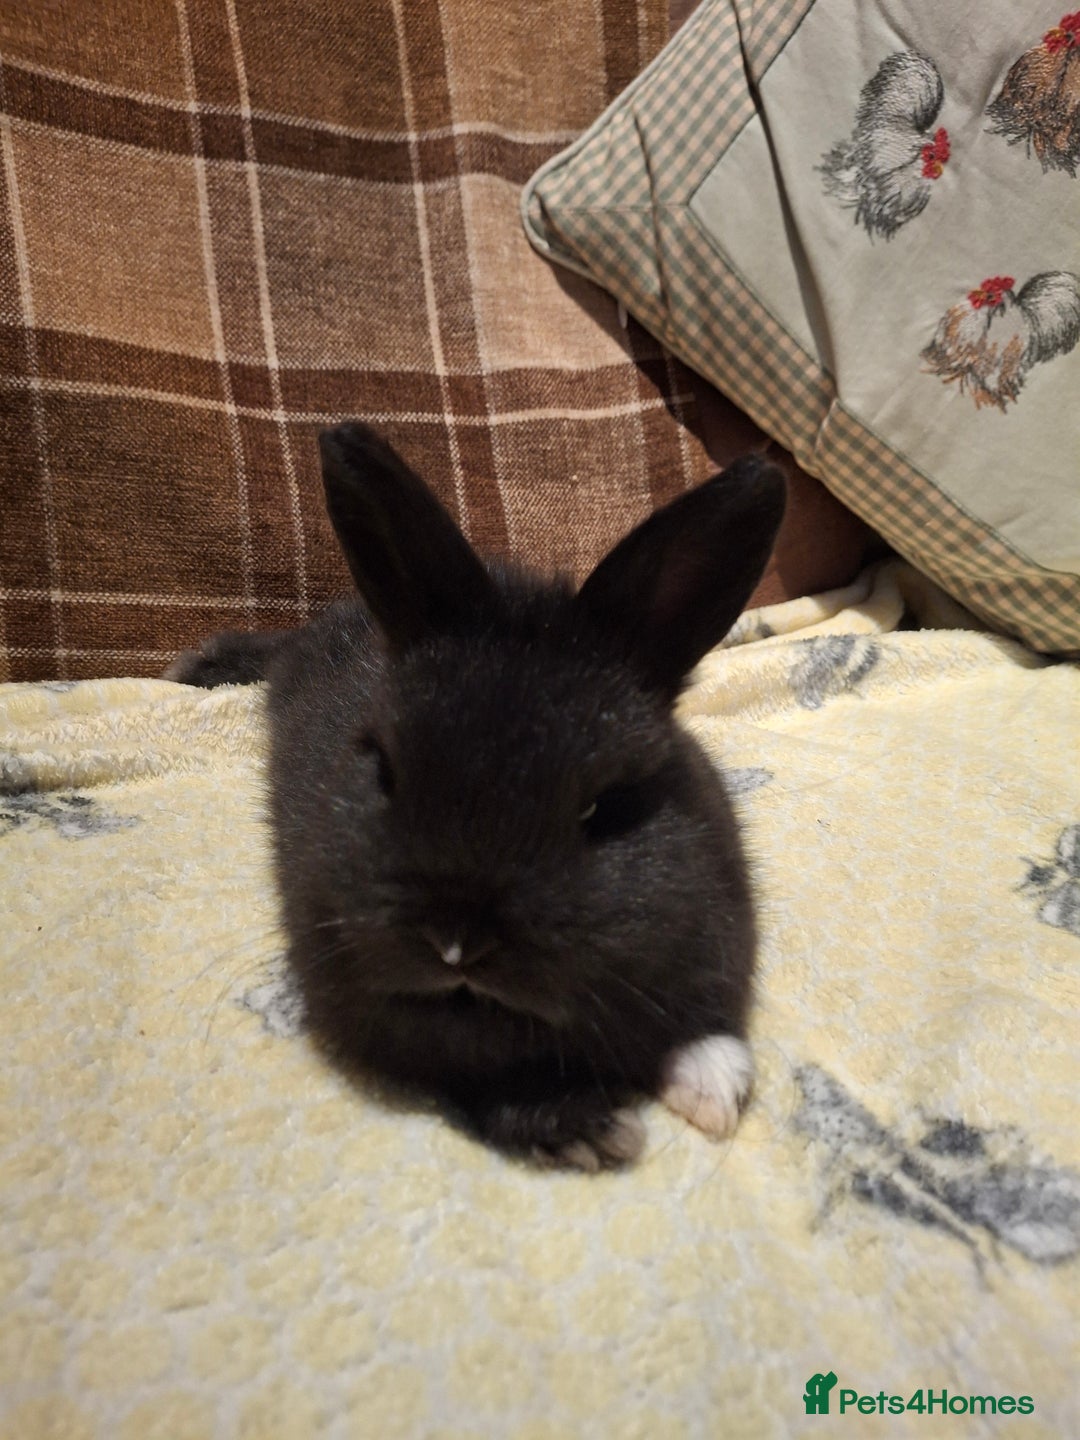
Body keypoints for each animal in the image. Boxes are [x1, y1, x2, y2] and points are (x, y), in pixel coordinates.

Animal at [165, 424, 786, 1169]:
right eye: (387, 771)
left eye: (605, 806)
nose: (456, 945)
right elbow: (480, 1085)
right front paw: (585, 1127)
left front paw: (712, 1090)